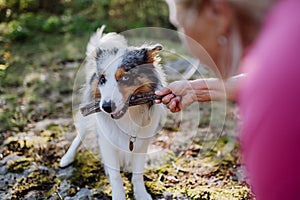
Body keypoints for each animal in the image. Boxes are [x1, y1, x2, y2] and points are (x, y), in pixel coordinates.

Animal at [58, 25, 166, 199]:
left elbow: (137, 173)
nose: (106, 107)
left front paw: (141, 194)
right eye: (102, 79)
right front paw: (119, 194)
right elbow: (115, 176)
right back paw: (67, 158)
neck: (128, 116)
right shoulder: (106, 141)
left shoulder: (142, 143)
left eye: (126, 78)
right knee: (80, 135)